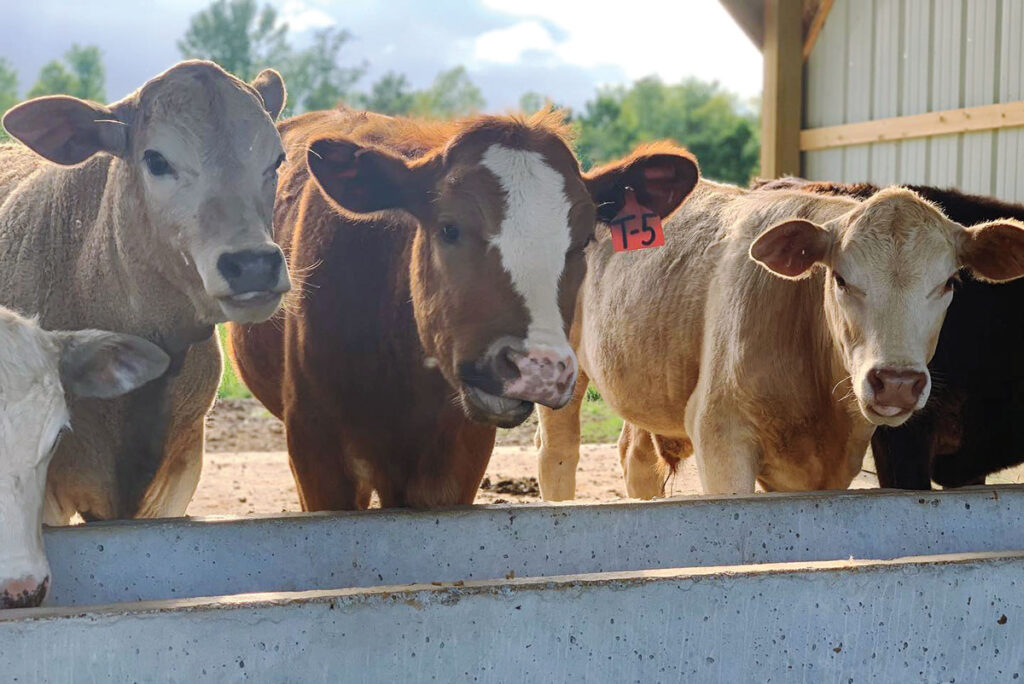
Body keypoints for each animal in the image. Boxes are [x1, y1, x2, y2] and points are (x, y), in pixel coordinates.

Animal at [532, 178, 1024, 497]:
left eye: (949, 283)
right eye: (841, 278)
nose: (897, 382)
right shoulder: (721, 438)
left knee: (637, 460)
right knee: (558, 454)